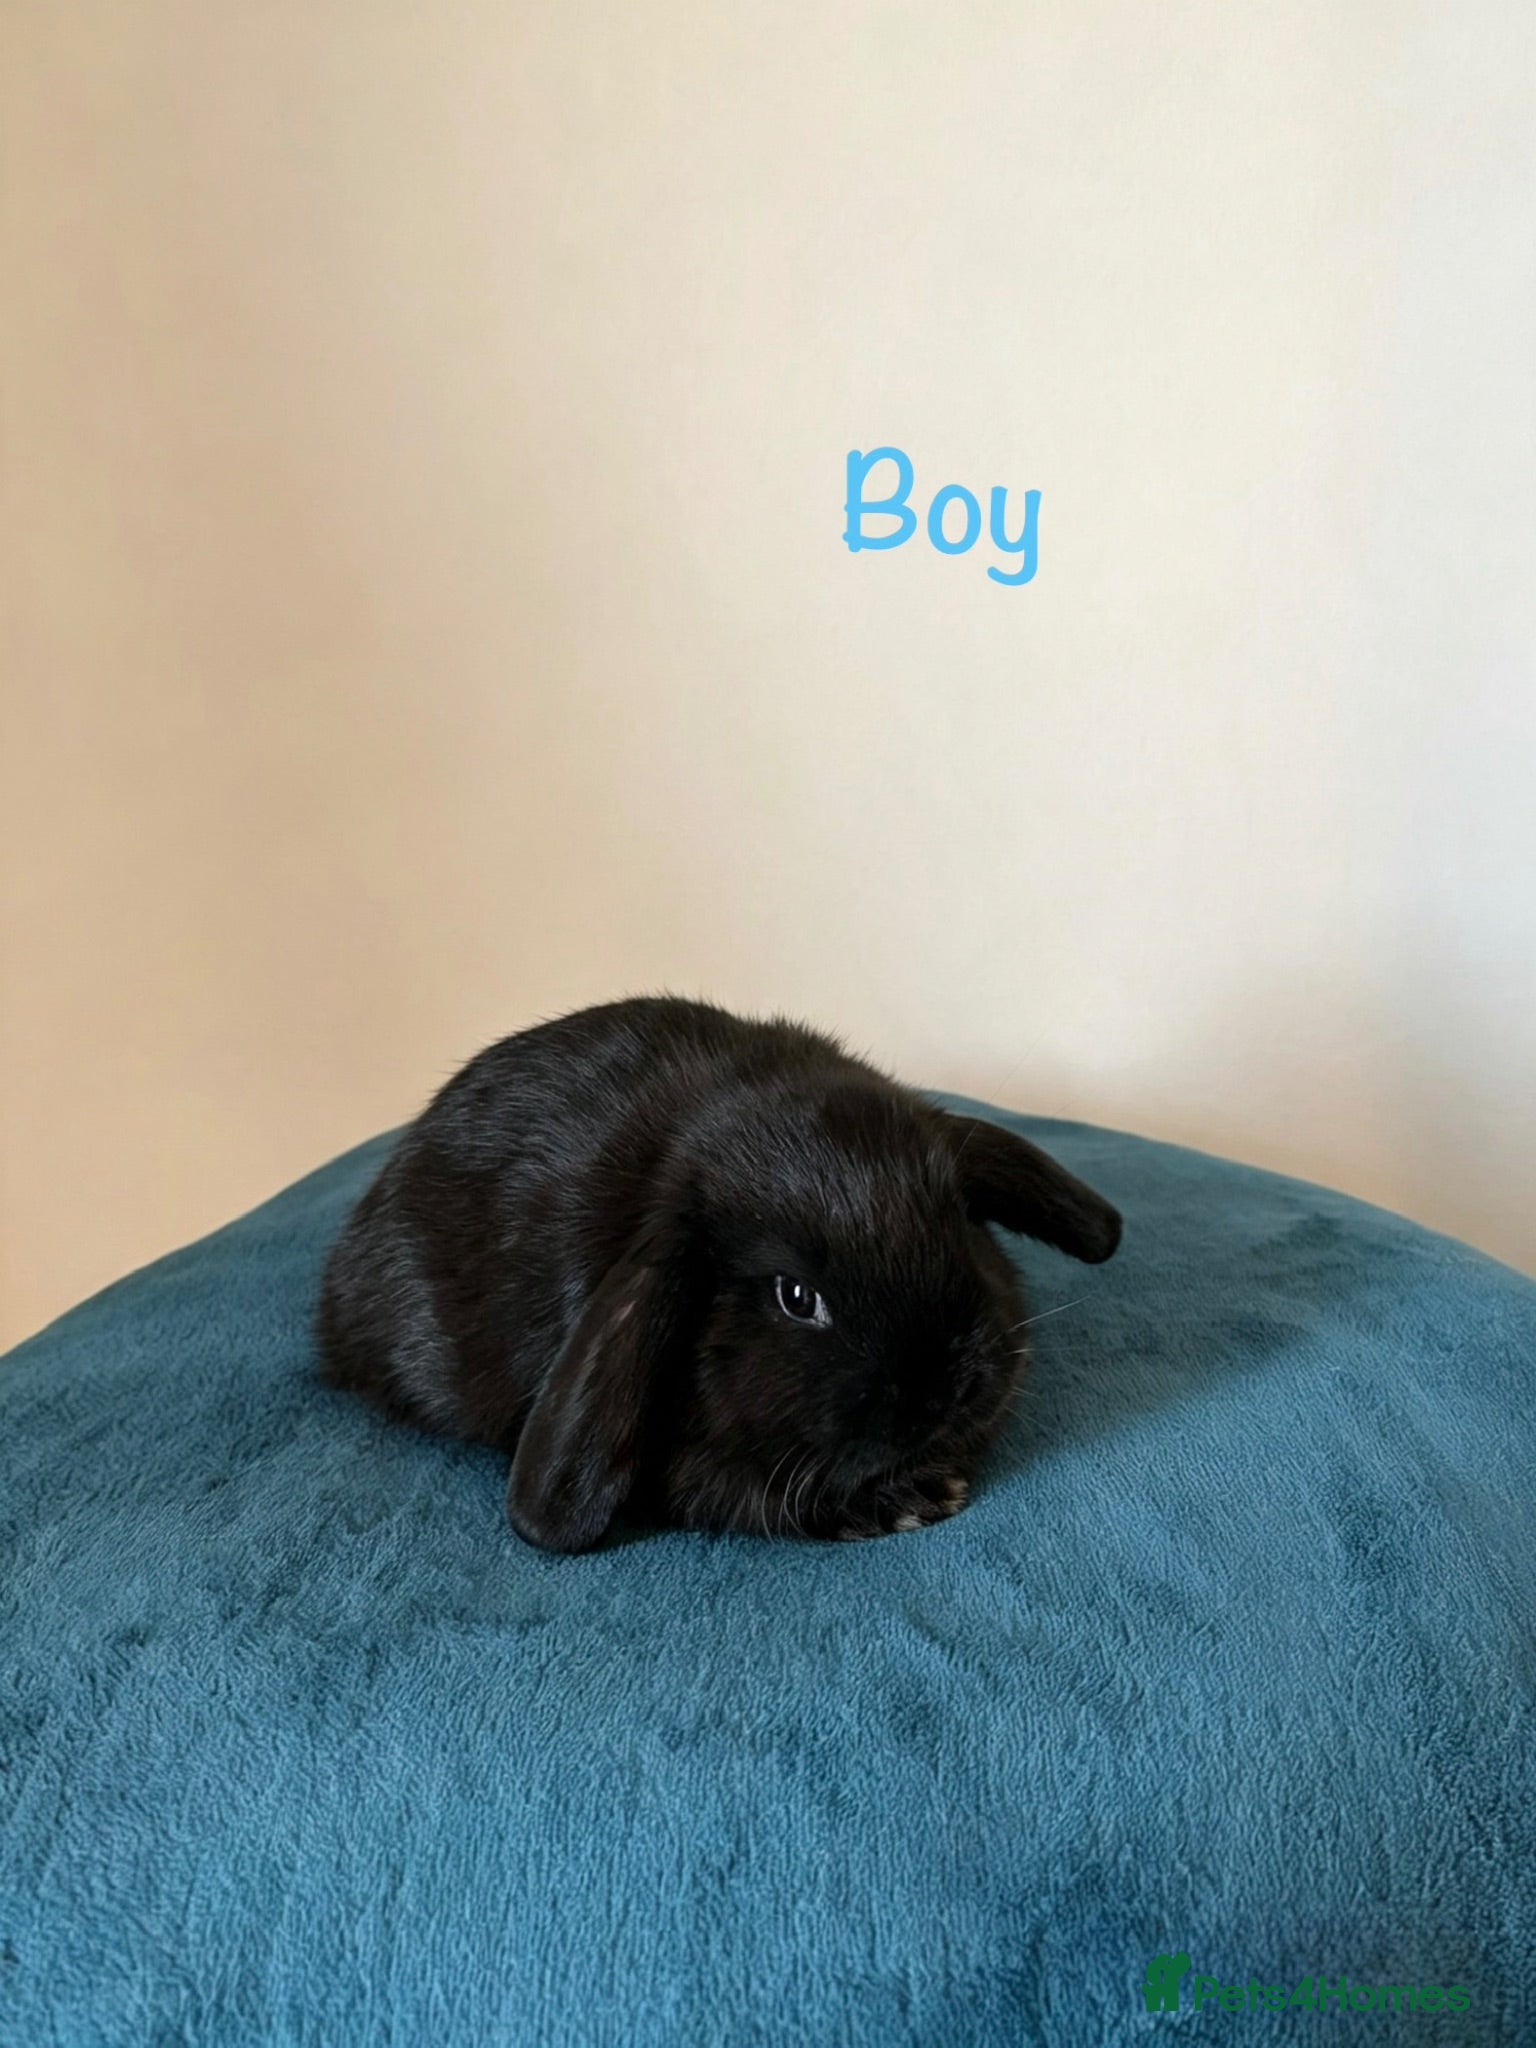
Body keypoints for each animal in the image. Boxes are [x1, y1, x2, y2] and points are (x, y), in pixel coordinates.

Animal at [316, 996, 1122, 1552]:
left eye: (957, 1222)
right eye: (796, 1297)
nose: (942, 1393)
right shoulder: (688, 1476)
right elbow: (752, 1497)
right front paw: (911, 1499)